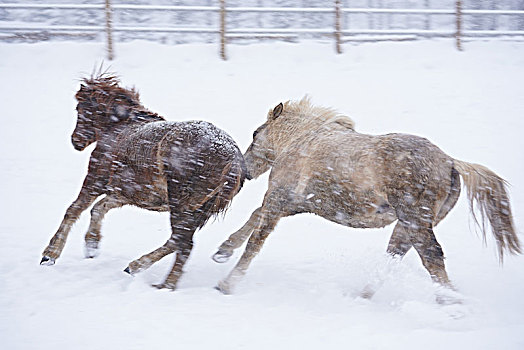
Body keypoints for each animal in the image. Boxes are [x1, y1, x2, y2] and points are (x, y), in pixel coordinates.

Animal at [41, 72, 246, 288]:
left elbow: (74, 209)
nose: (76, 141)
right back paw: (143, 271)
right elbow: (99, 208)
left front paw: (50, 255)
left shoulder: (95, 181)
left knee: (183, 244)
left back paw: (160, 282)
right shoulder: (125, 194)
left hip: (181, 205)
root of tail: (233, 160)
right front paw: (92, 245)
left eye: (79, 108)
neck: (119, 126)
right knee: (178, 242)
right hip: (198, 210)